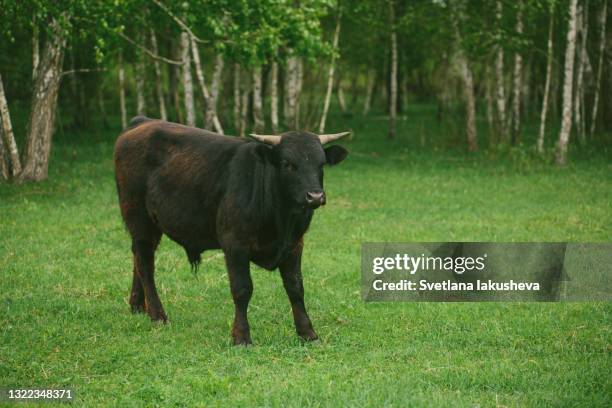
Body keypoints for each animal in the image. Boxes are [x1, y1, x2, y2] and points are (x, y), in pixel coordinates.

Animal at [114, 115, 350, 344]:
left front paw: (307, 333)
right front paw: (241, 336)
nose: (315, 196)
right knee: (145, 265)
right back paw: (157, 315)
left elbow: (295, 287)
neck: (280, 219)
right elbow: (242, 289)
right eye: (288, 164)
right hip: (139, 219)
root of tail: (143, 122)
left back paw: (137, 306)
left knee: (138, 259)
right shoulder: (235, 244)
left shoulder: (294, 244)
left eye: (321, 164)